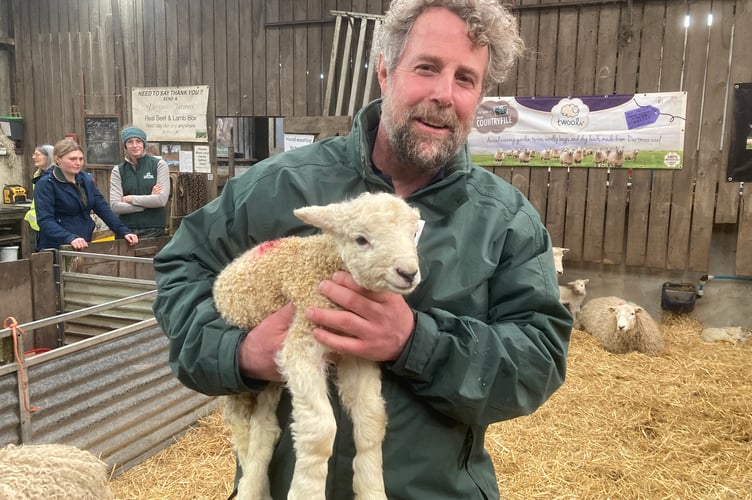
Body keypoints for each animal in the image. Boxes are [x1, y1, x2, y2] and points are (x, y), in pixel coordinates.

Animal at [213, 192, 422, 500]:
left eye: (411, 233)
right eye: (361, 239)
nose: (408, 273)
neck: (325, 265)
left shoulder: (355, 352)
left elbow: (372, 421)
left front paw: (371, 489)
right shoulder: (303, 340)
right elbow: (320, 431)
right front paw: (307, 491)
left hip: (270, 378)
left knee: (265, 427)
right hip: (242, 374)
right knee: (241, 429)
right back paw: (249, 487)